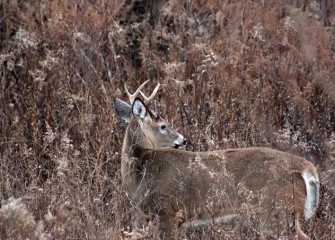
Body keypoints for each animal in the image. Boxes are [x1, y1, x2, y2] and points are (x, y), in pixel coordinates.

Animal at [115, 81, 320, 240]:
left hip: (275, 210)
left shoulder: (167, 212)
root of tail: (306, 167)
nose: (184, 139)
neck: (140, 171)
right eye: (163, 126)